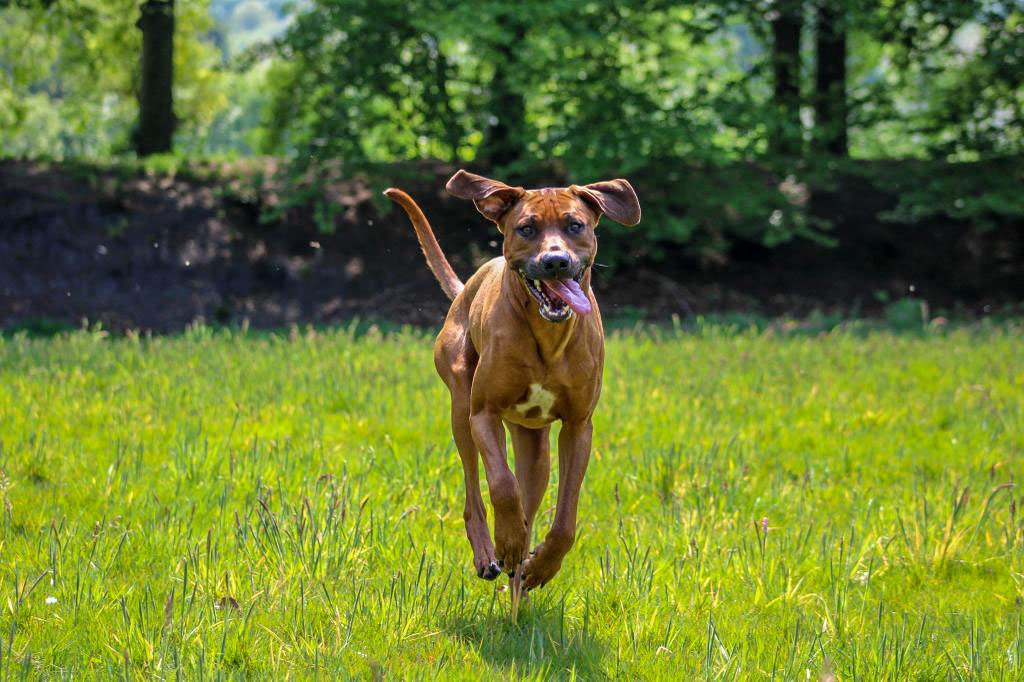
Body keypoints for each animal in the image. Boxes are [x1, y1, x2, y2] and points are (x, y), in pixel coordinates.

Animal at [385, 169, 638, 589]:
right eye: (526, 228)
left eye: (575, 225)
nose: (555, 262)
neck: (548, 337)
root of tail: (468, 286)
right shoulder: (483, 414)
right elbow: (502, 486)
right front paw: (508, 543)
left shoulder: (578, 427)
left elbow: (565, 518)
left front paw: (542, 564)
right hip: (461, 408)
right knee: (475, 491)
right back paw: (491, 553)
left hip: (535, 448)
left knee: (530, 498)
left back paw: (521, 574)